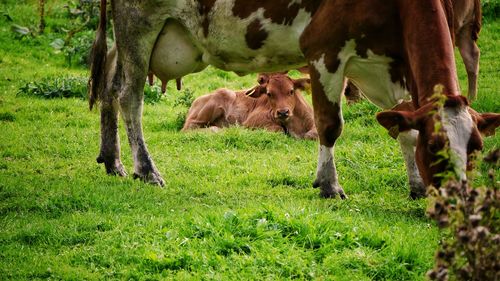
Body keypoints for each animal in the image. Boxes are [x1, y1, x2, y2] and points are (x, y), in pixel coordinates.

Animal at [183, 71, 316, 138]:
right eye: (269, 94)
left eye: (291, 91)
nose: (283, 112)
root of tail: (195, 101)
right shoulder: (251, 122)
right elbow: (278, 129)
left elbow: (311, 135)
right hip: (221, 95)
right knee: (188, 128)